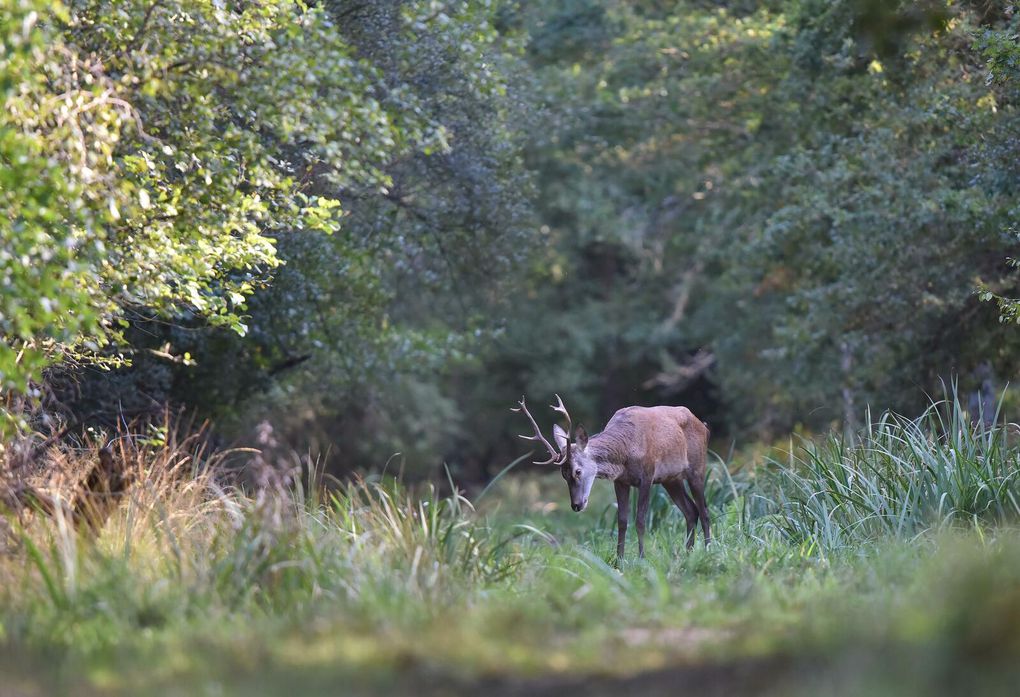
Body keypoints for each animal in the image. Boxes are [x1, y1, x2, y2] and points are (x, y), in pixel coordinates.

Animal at [510, 395, 709, 559]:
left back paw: (708, 550)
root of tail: (704, 427)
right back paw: (688, 553)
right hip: (671, 479)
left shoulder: (647, 475)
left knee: (704, 510)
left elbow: (640, 521)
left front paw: (641, 559)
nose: (576, 505)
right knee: (691, 511)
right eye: (563, 475)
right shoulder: (620, 481)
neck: (626, 450)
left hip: (697, 468)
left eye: (577, 471)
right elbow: (622, 521)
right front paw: (618, 561)